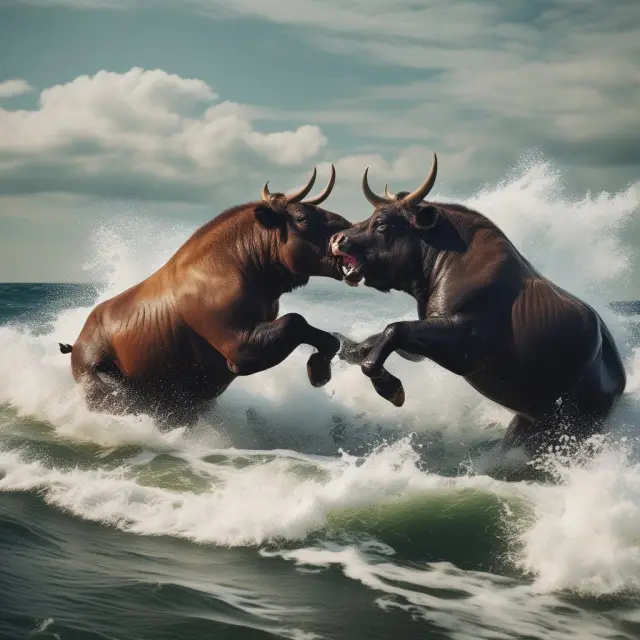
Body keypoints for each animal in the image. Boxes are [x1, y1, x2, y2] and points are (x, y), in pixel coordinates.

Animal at [59, 166, 351, 428]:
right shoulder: (239, 349)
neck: (245, 265)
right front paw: (318, 368)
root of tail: (76, 345)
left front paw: (320, 366)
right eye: (302, 217)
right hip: (108, 394)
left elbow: (329, 337)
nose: (348, 228)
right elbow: (297, 321)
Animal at [329, 153, 627, 457]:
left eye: (382, 223)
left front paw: (389, 387)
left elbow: (394, 330)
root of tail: (620, 383)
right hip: (527, 424)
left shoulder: (463, 345)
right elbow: (379, 338)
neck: (448, 261)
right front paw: (345, 348)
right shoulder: (429, 333)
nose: (337, 239)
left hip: (570, 427)